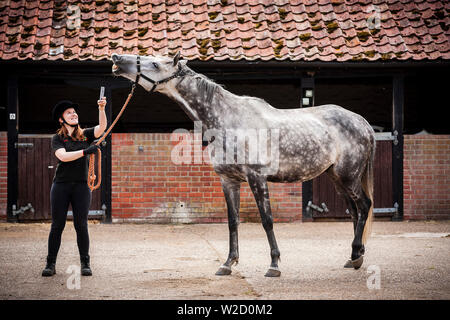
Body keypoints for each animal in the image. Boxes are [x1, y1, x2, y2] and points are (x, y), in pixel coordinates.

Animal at [110, 52, 374, 278]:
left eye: (155, 64)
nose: (117, 59)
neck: (228, 119)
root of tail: (361, 121)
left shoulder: (256, 178)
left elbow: (267, 220)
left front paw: (274, 265)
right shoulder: (229, 181)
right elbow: (233, 222)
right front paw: (228, 263)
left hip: (348, 176)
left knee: (364, 206)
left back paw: (356, 254)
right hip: (337, 178)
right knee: (354, 211)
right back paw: (354, 257)